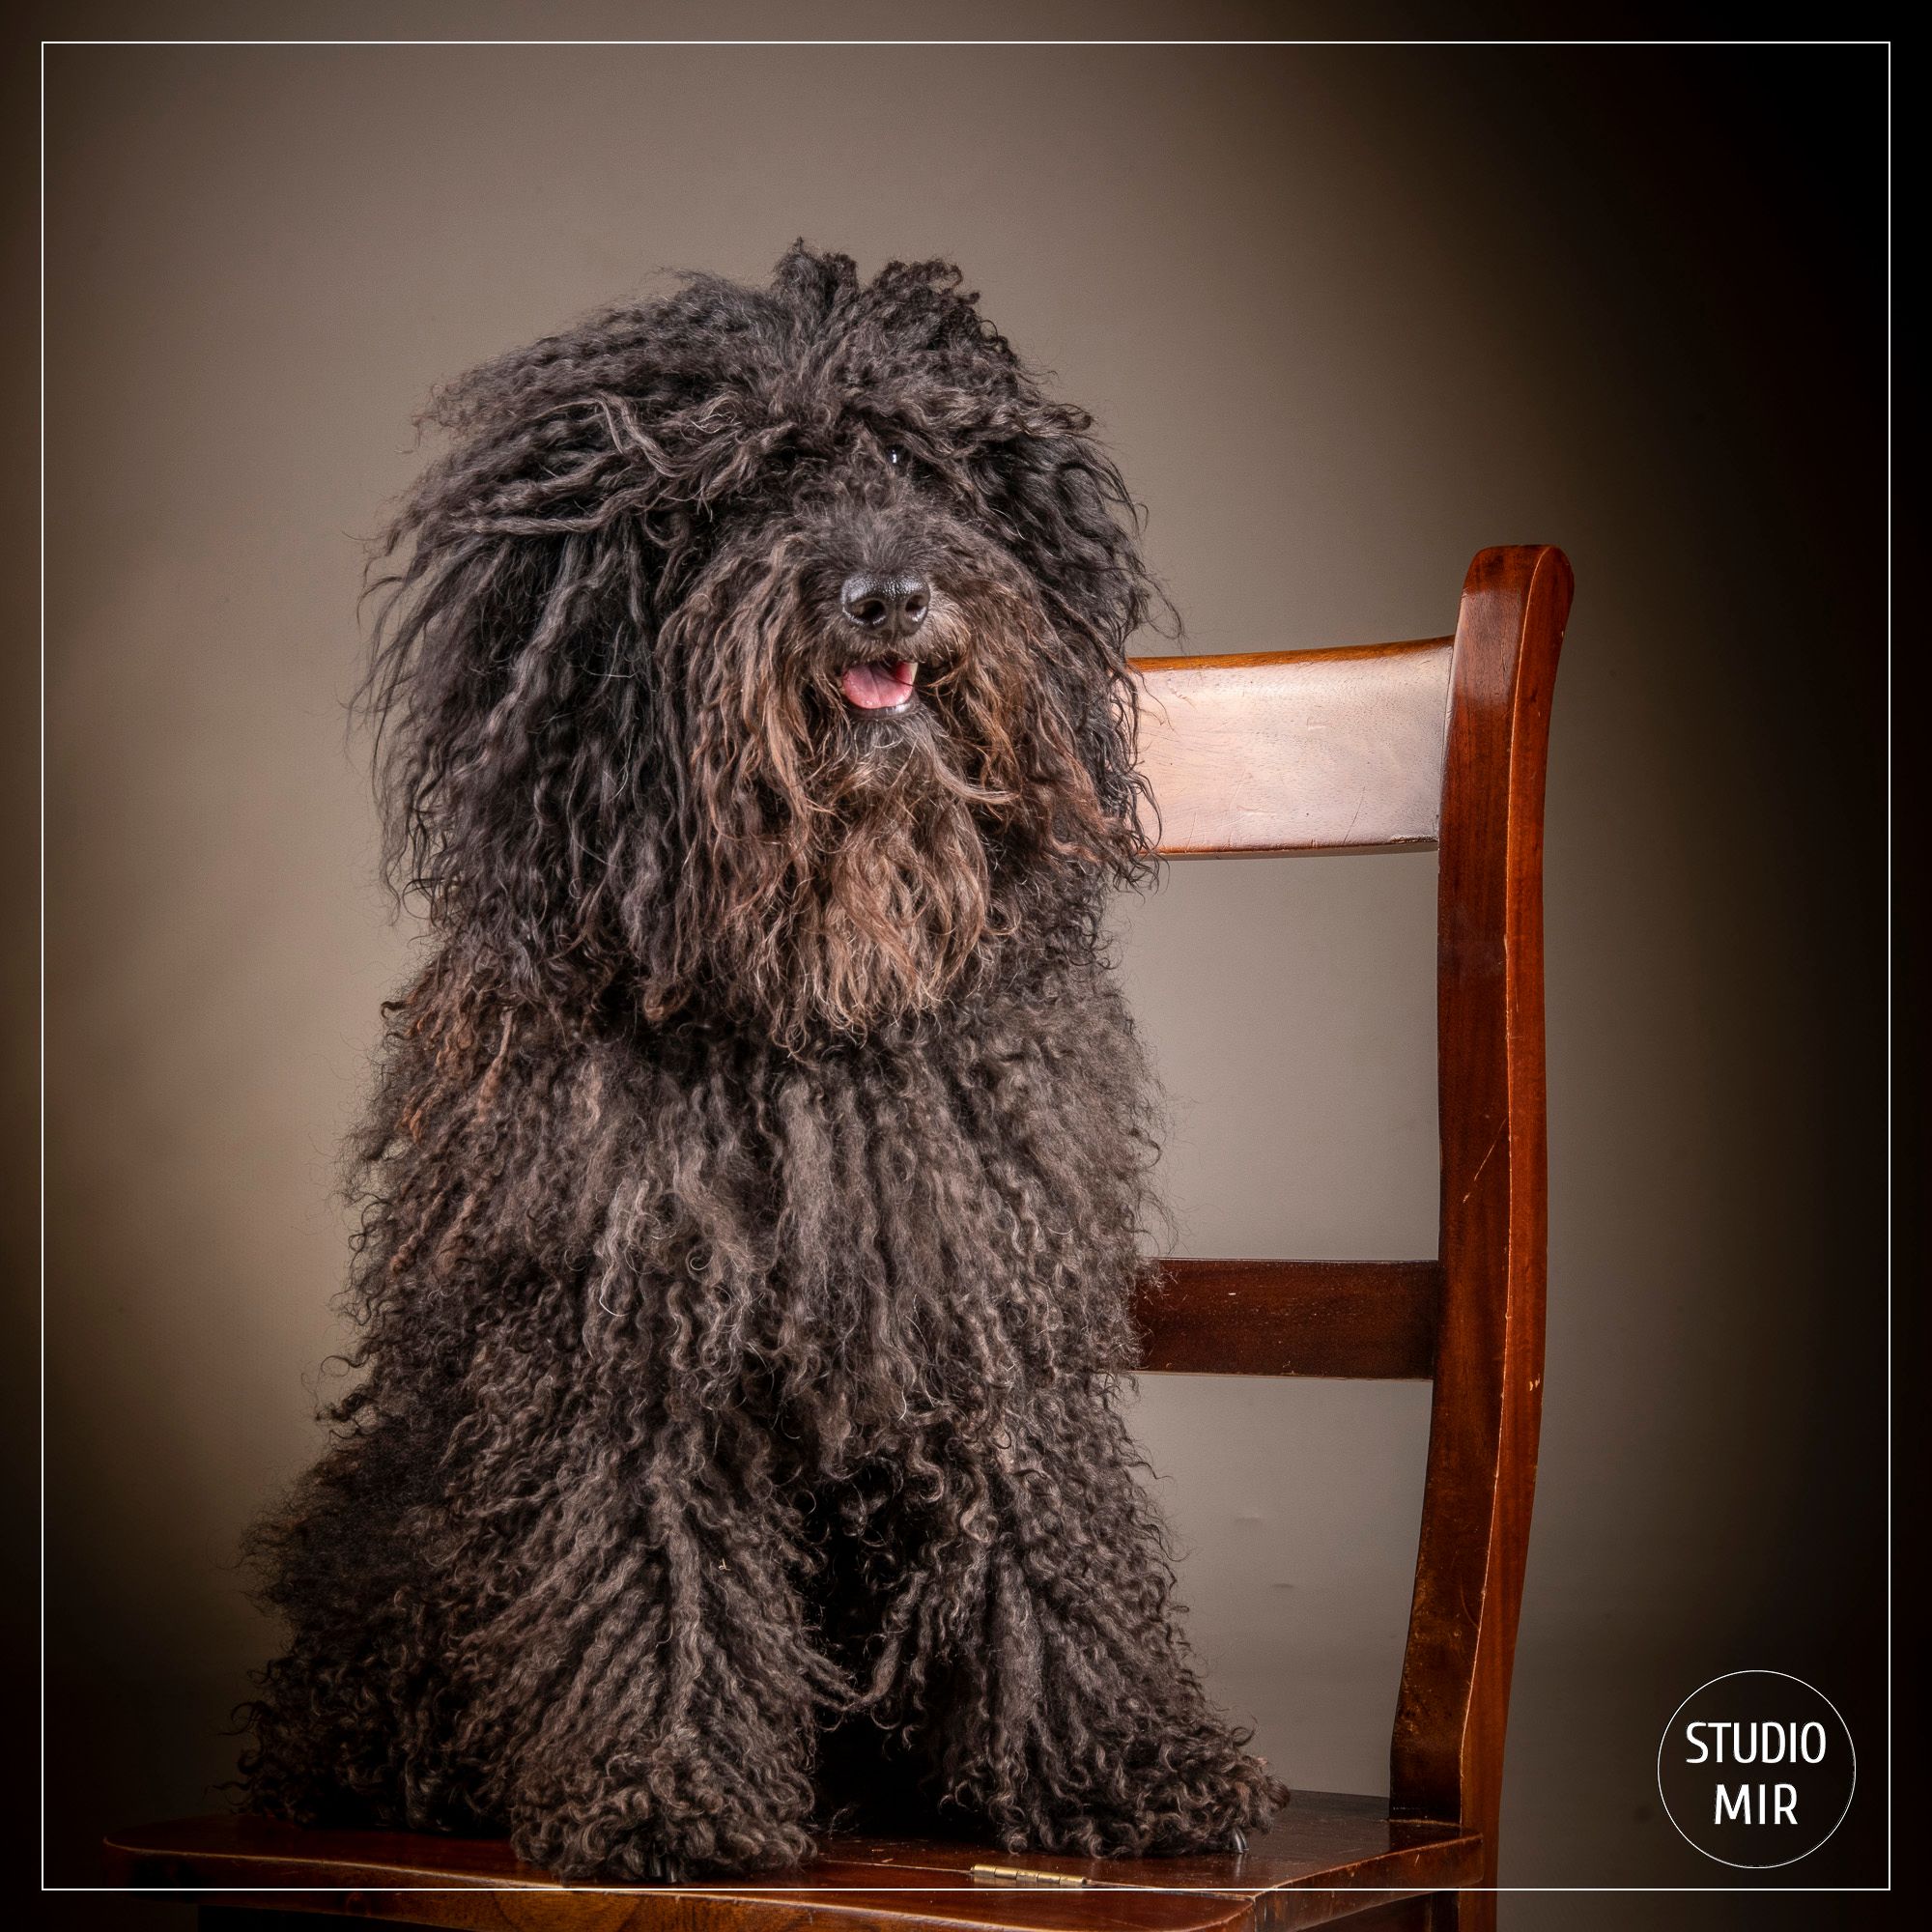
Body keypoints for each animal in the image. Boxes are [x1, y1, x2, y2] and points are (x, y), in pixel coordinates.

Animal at [245, 238, 1283, 1870]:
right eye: (743, 488)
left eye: (923, 465)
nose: (886, 596)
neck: (811, 1004)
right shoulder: (630, 1338)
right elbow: (657, 1577)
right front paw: (663, 1794)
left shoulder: (991, 1308)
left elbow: (1044, 1546)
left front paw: (1124, 1763)